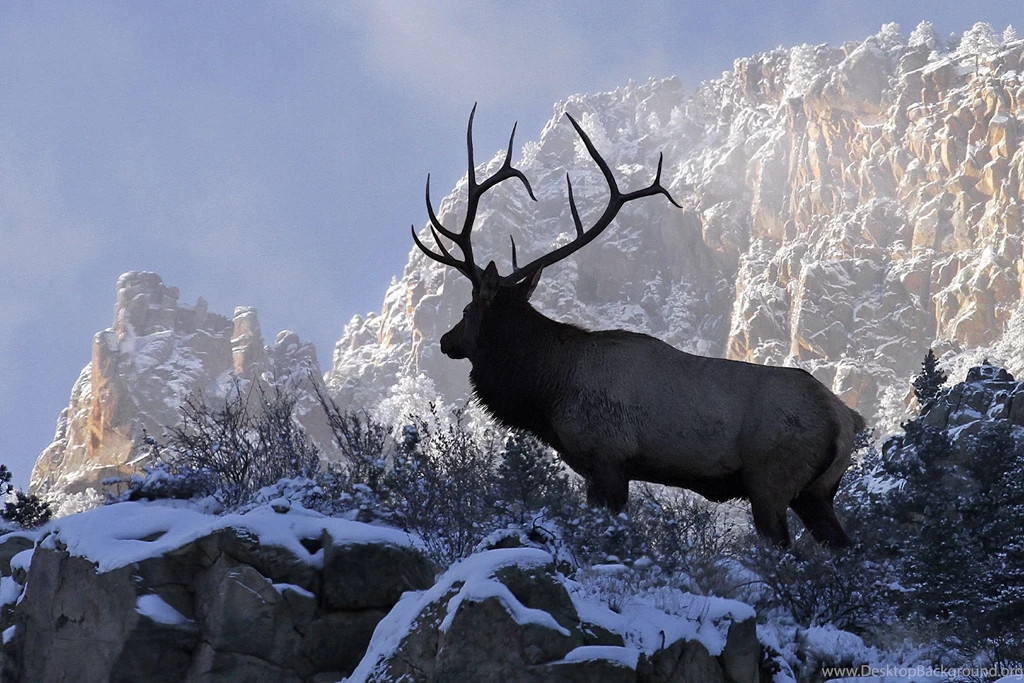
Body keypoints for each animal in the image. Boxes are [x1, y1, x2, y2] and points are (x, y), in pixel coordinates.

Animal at [412, 106, 866, 548]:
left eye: (467, 310)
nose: (446, 340)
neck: (548, 388)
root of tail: (846, 420)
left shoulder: (608, 457)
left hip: (769, 478)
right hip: (817, 492)